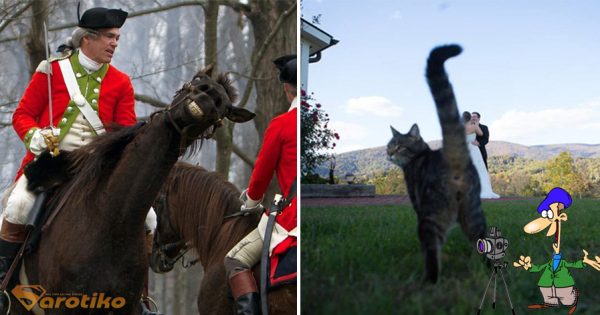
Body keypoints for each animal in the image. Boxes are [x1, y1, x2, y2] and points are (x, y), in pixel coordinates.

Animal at [386, 44, 490, 284]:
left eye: (399, 146)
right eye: (389, 146)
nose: (389, 154)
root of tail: (453, 156)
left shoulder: (417, 203)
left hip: (431, 214)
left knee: (432, 250)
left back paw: (428, 281)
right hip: (473, 213)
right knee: (485, 242)